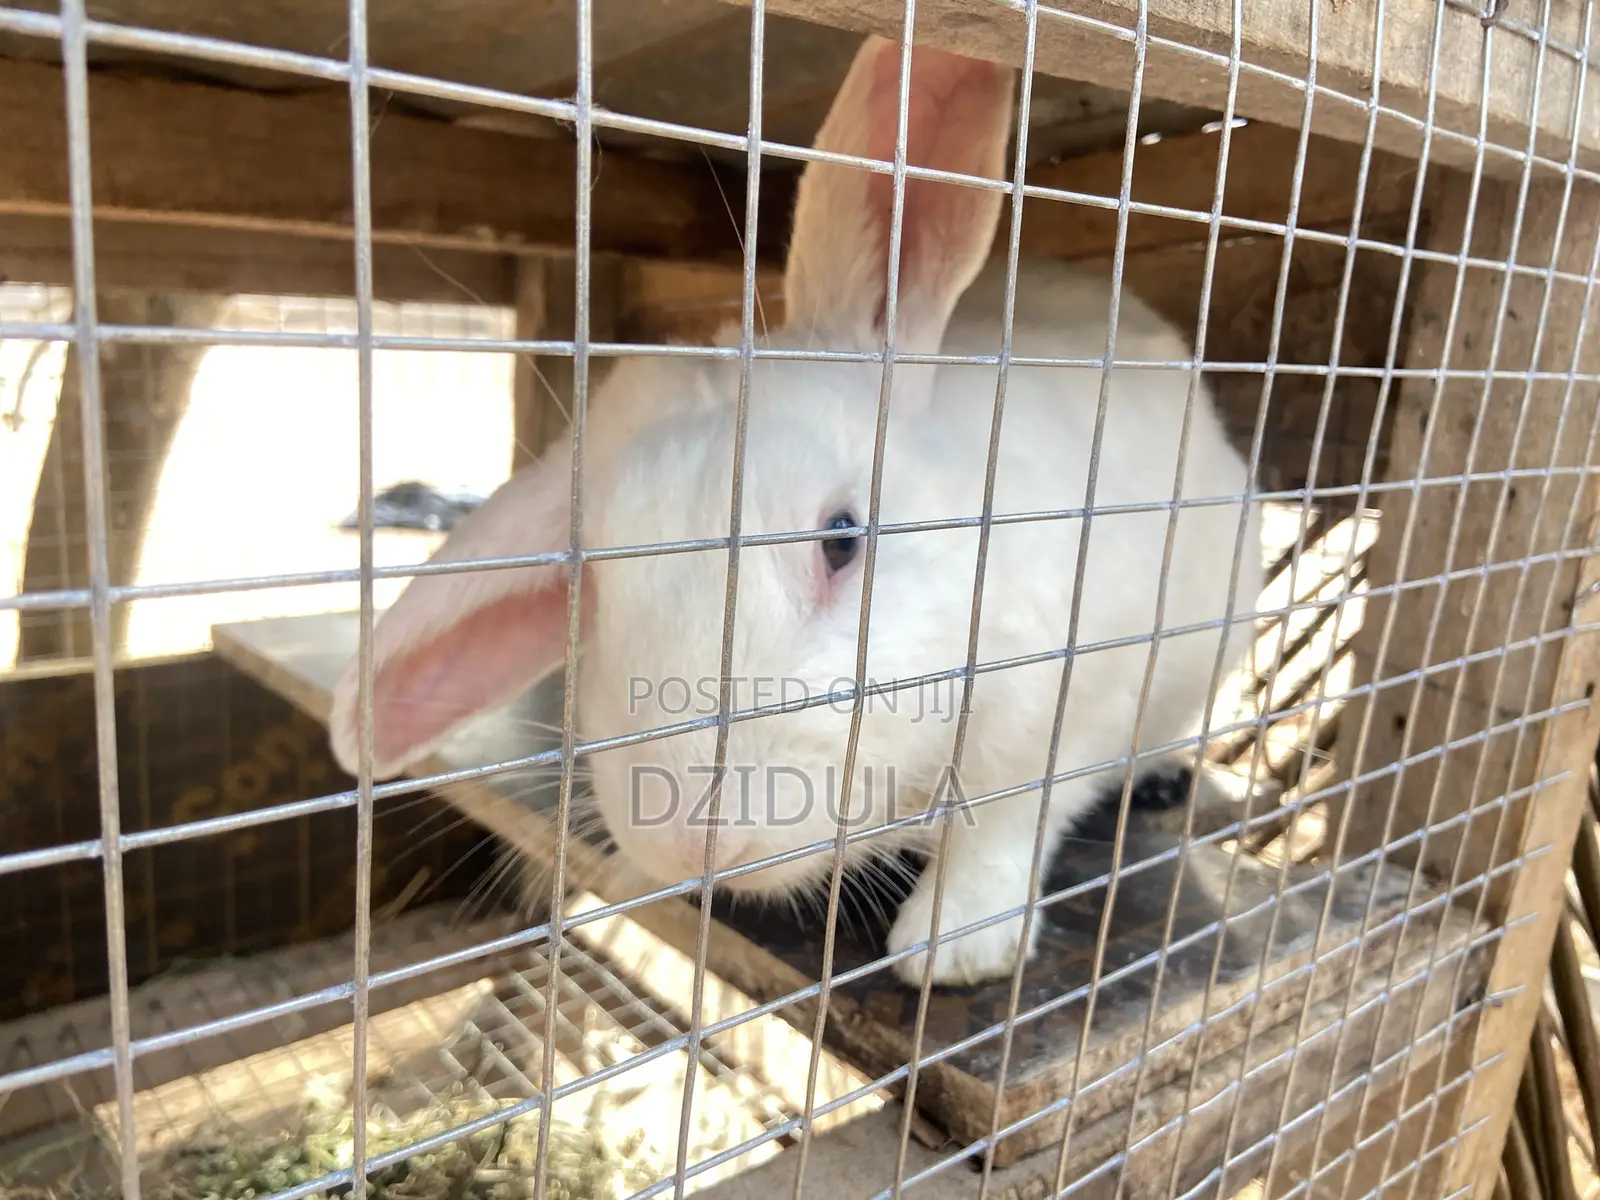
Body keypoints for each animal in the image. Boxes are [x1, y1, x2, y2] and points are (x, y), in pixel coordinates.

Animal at [328, 34, 1264, 988]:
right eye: (591, 588)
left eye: (841, 540)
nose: (690, 843)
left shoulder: (1075, 700)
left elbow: (1008, 820)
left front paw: (952, 946)